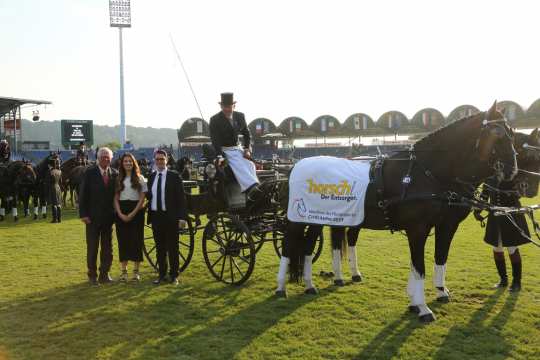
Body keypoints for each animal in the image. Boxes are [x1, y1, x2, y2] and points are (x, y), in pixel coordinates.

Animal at [278, 102, 520, 324]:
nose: (512, 170)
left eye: (512, 132)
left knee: (311, 245)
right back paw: (282, 287)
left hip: (319, 219)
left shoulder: (446, 225)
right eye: (497, 133)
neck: (426, 173)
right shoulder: (418, 229)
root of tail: (294, 166)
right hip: (297, 219)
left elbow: (439, 258)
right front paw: (422, 307)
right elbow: (419, 265)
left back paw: (312, 284)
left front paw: (435, 293)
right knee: (289, 245)